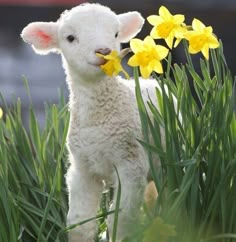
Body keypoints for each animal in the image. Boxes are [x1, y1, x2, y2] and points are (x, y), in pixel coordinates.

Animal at [21, 2, 161, 241]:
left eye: (115, 34)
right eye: (70, 38)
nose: (104, 51)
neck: (99, 120)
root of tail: (148, 81)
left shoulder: (131, 164)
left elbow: (120, 221)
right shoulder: (82, 168)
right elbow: (78, 223)